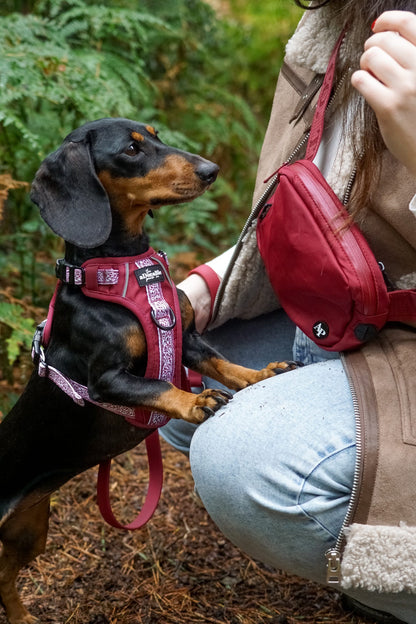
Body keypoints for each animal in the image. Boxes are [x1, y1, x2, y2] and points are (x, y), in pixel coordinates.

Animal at [0, 118, 296, 624]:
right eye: (132, 150)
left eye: (155, 136)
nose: (210, 170)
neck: (123, 271)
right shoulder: (106, 380)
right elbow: (159, 384)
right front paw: (197, 401)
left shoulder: (188, 340)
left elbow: (222, 363)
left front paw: (260, 375)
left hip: (29, 529)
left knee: (4, 577)